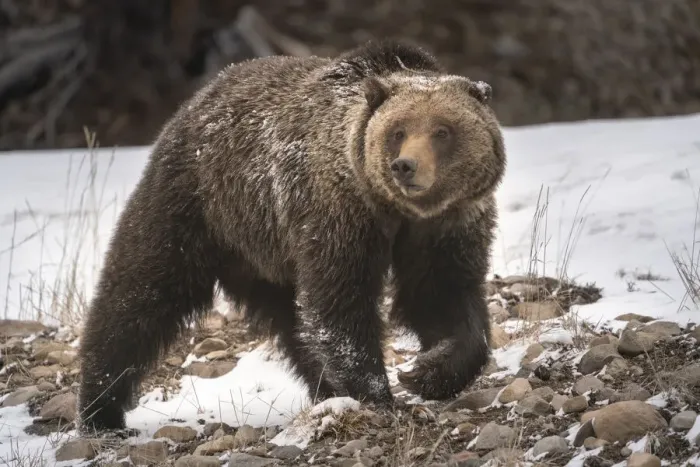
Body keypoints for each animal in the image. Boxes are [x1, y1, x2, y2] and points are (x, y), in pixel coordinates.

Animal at [77, 39, 507, 432]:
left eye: (442, 130)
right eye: (397, 131)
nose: (405, 166)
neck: (397, 210)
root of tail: (196, 100)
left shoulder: (446, 226)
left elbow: (440, 294)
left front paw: (428, 371)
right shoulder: (340, 215)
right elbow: (341, 304)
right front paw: (378, 393)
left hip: (267, 253)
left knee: (293, 324)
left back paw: (324, 388)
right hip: (195, 206)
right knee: (138, 296)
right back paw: (100, 410)